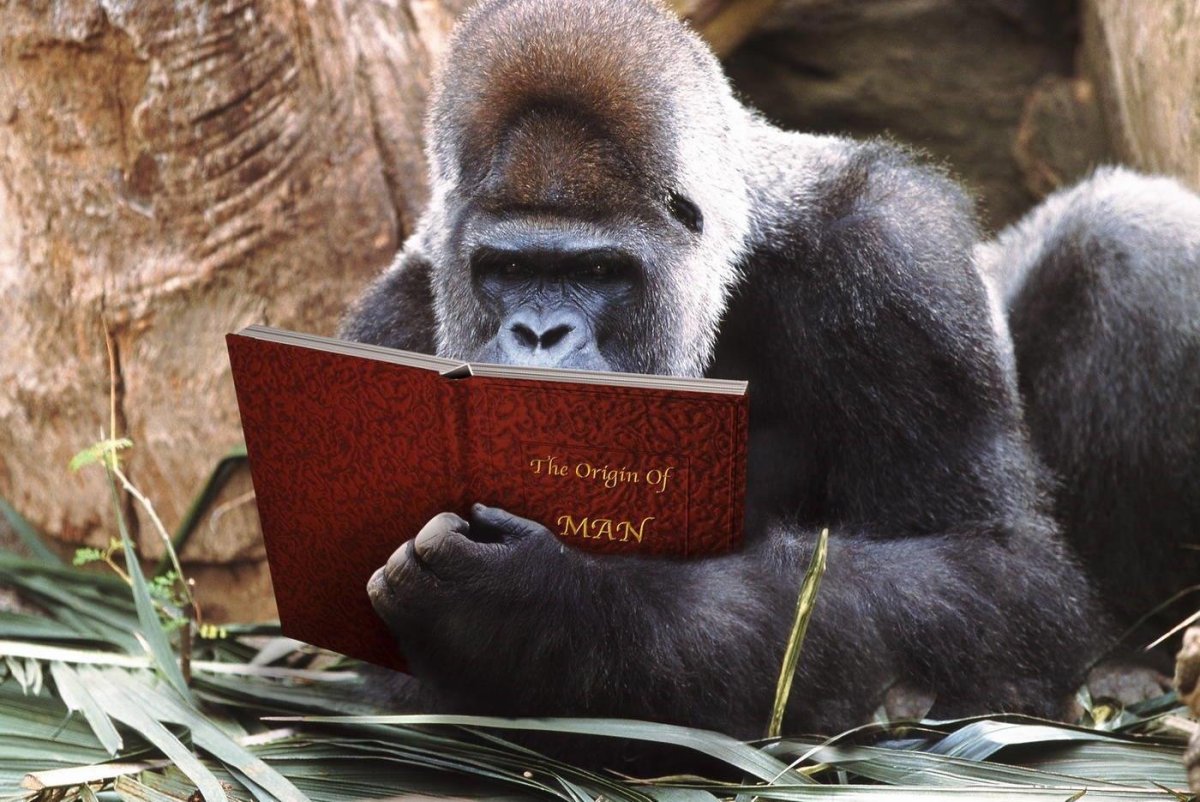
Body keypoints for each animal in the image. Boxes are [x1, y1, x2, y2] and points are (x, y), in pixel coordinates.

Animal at [338, 0, 1198, 756]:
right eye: (507, 270)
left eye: (600, 272)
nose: (539, 334)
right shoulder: (397, 319)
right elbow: (407, 692)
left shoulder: (896, 259)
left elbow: (1001, 569)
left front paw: (547, 607)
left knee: (1128, 240)